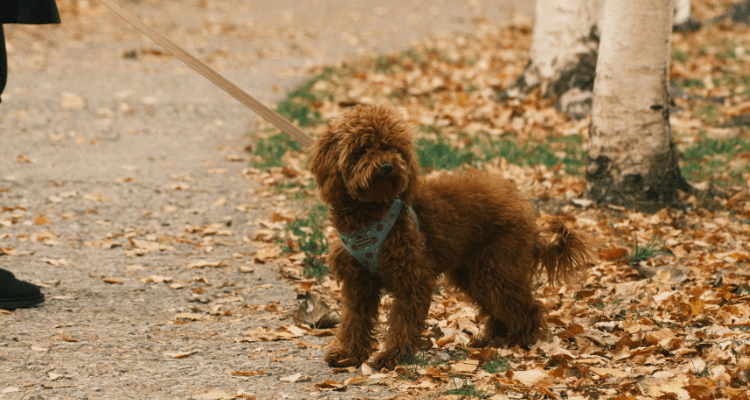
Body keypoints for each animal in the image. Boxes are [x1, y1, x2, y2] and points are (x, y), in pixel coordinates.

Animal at [312, 103, 600, 368]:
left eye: (395, 148)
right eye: (364, 148)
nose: (387, 166)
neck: (370, 211)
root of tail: (526, 211)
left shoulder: (412, 278)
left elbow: (402, 322)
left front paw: (390, 357)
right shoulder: (358, 283)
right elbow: (354, 320)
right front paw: (348, 353)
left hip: (497, 267)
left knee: (526, 306)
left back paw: (522, 340)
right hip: (474, 273)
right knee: (499, 308)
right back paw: (492, 339)